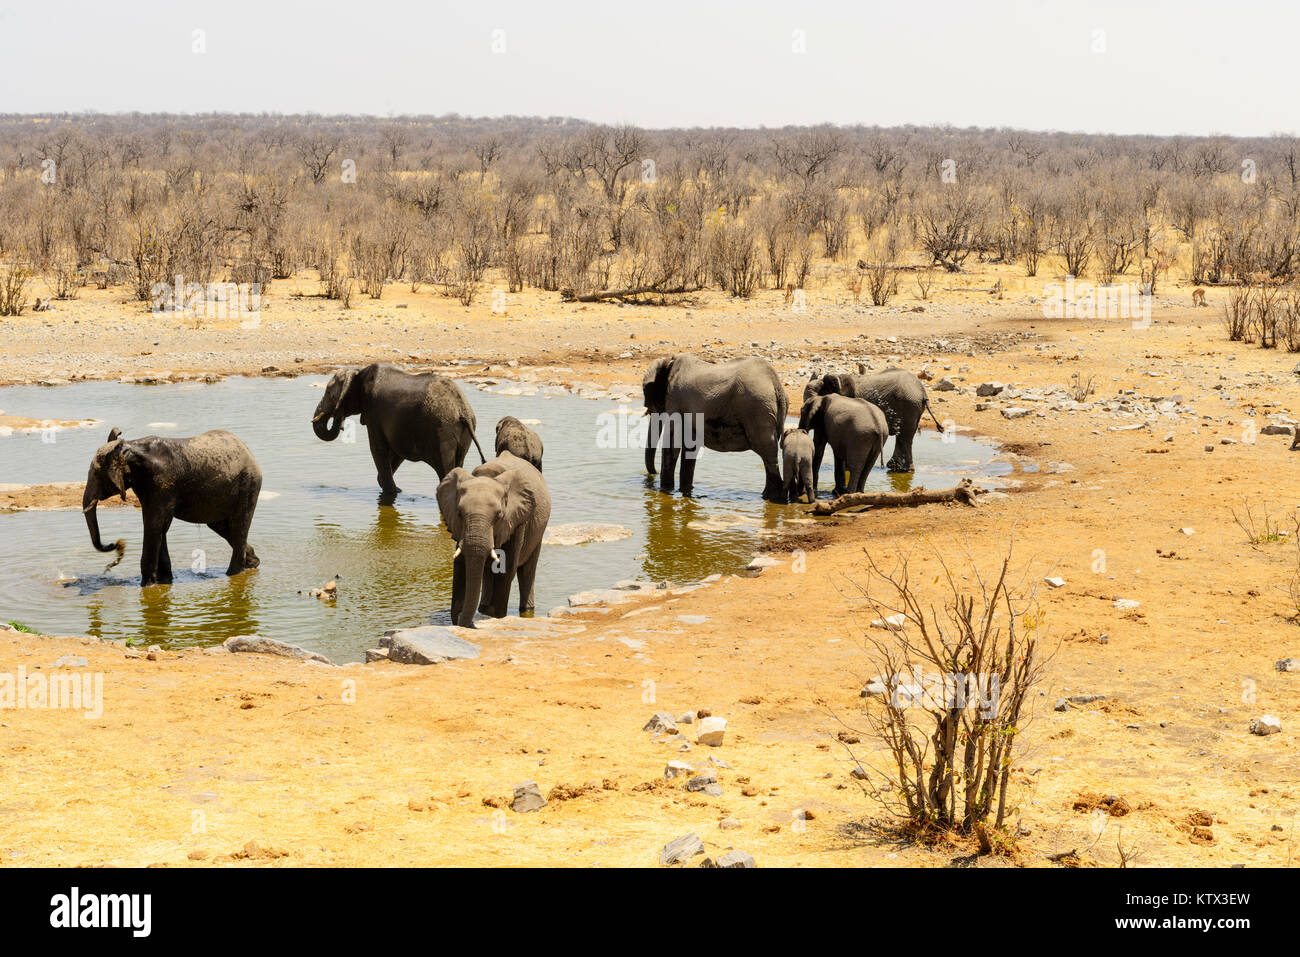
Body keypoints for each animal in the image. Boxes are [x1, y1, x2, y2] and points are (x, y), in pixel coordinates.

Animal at [81, 429, 263, 590]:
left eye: (96, 475)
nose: (117, 544)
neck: (130, 447)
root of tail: (247, 450)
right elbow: (159, 527)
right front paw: (164, 581)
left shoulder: (162, 483)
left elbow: (154, 525)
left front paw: (147, 586)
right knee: (221, 526)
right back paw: (252, 563)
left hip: (248, 484)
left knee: (239, 525)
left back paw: (233, 573)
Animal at [312, 361, 486, 496]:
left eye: (329, 393)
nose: (338, 418)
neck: (358, 372)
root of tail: (462, 409)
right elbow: (397, 451)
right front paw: (397, 491)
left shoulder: (373, 412)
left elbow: (378, 449)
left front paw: (390, 493)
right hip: (464, 433)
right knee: (458, 463)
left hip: (443, 431)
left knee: (445, 469)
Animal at [436, 449, 548, 629]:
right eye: (459, 514)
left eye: (499, 516)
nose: (470, 623)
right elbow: (461, 567)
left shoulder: (517, 521)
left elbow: (506, 569)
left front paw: (497, 617)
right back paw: (484, 608)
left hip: (539, 529)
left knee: (527, 570)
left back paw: (526, 609)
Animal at [639, 351, 780, 501]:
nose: (654, 473)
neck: (669, 362)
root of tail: (776, 384)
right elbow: (690, 447)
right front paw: (684, 492)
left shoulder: (675, 398)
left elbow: (672, 442)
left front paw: (666, 491)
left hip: (758, 409)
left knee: (768, 453)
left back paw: (771, 497)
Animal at [806, 369, 941, 473]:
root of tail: (922, 391)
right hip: (913, 406)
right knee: (905, 436)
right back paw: (898, 468)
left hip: (909, 404)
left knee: (904, 436)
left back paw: (902, 469)